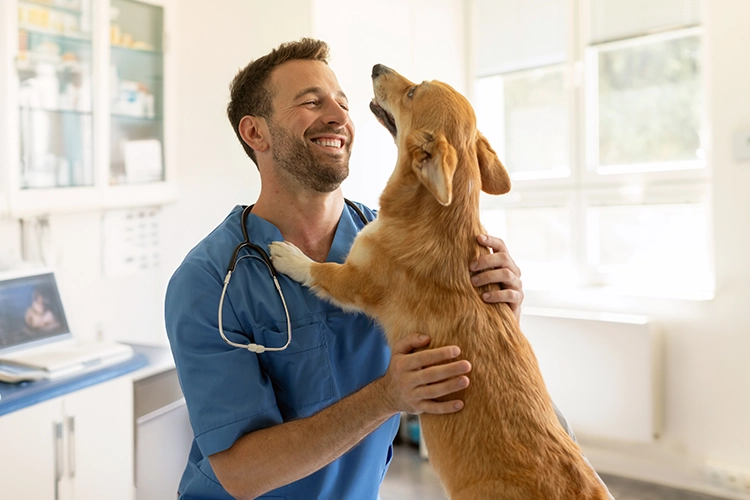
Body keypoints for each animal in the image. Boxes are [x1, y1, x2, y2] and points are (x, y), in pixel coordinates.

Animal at [270, 64, 612, 498]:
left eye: (414, 92)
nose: (376, 67)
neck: (439, 216)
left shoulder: (354, 280)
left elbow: (319, 270)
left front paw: (288, 255)